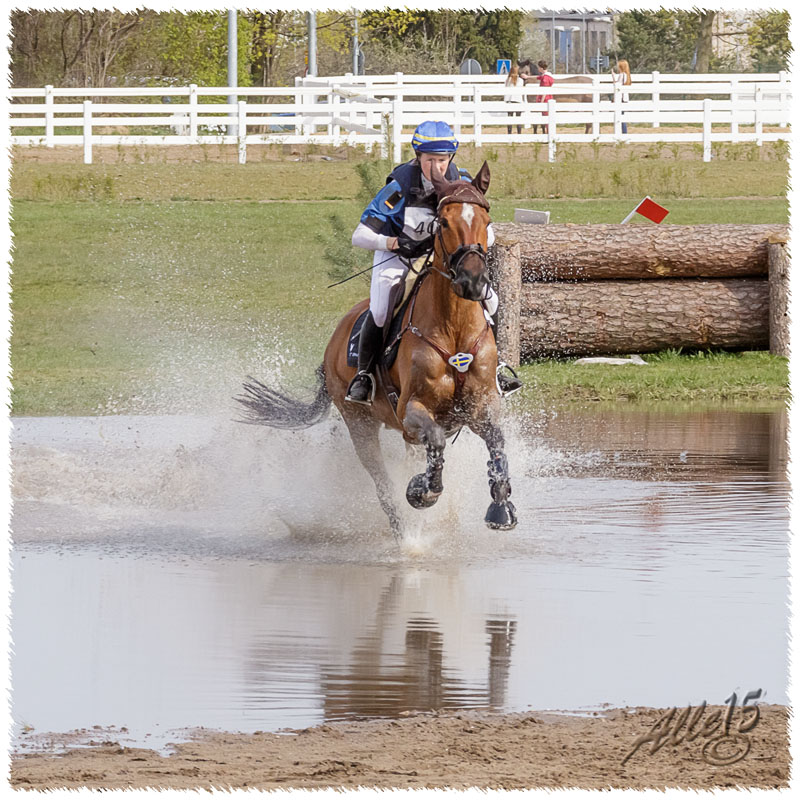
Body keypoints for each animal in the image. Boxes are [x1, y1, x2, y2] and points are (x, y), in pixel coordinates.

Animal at [236, 161, 520, 544]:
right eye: (443, 223)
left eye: (486, 220)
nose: (472, 282)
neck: (454, 331)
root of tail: (333, 342)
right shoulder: (412, 410)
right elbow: (434, 442)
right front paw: (422, 492)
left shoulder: (481, 406)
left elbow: (497, 444)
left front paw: (501, 508)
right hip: (360, 423)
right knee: (381, 481)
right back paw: (403, 530)